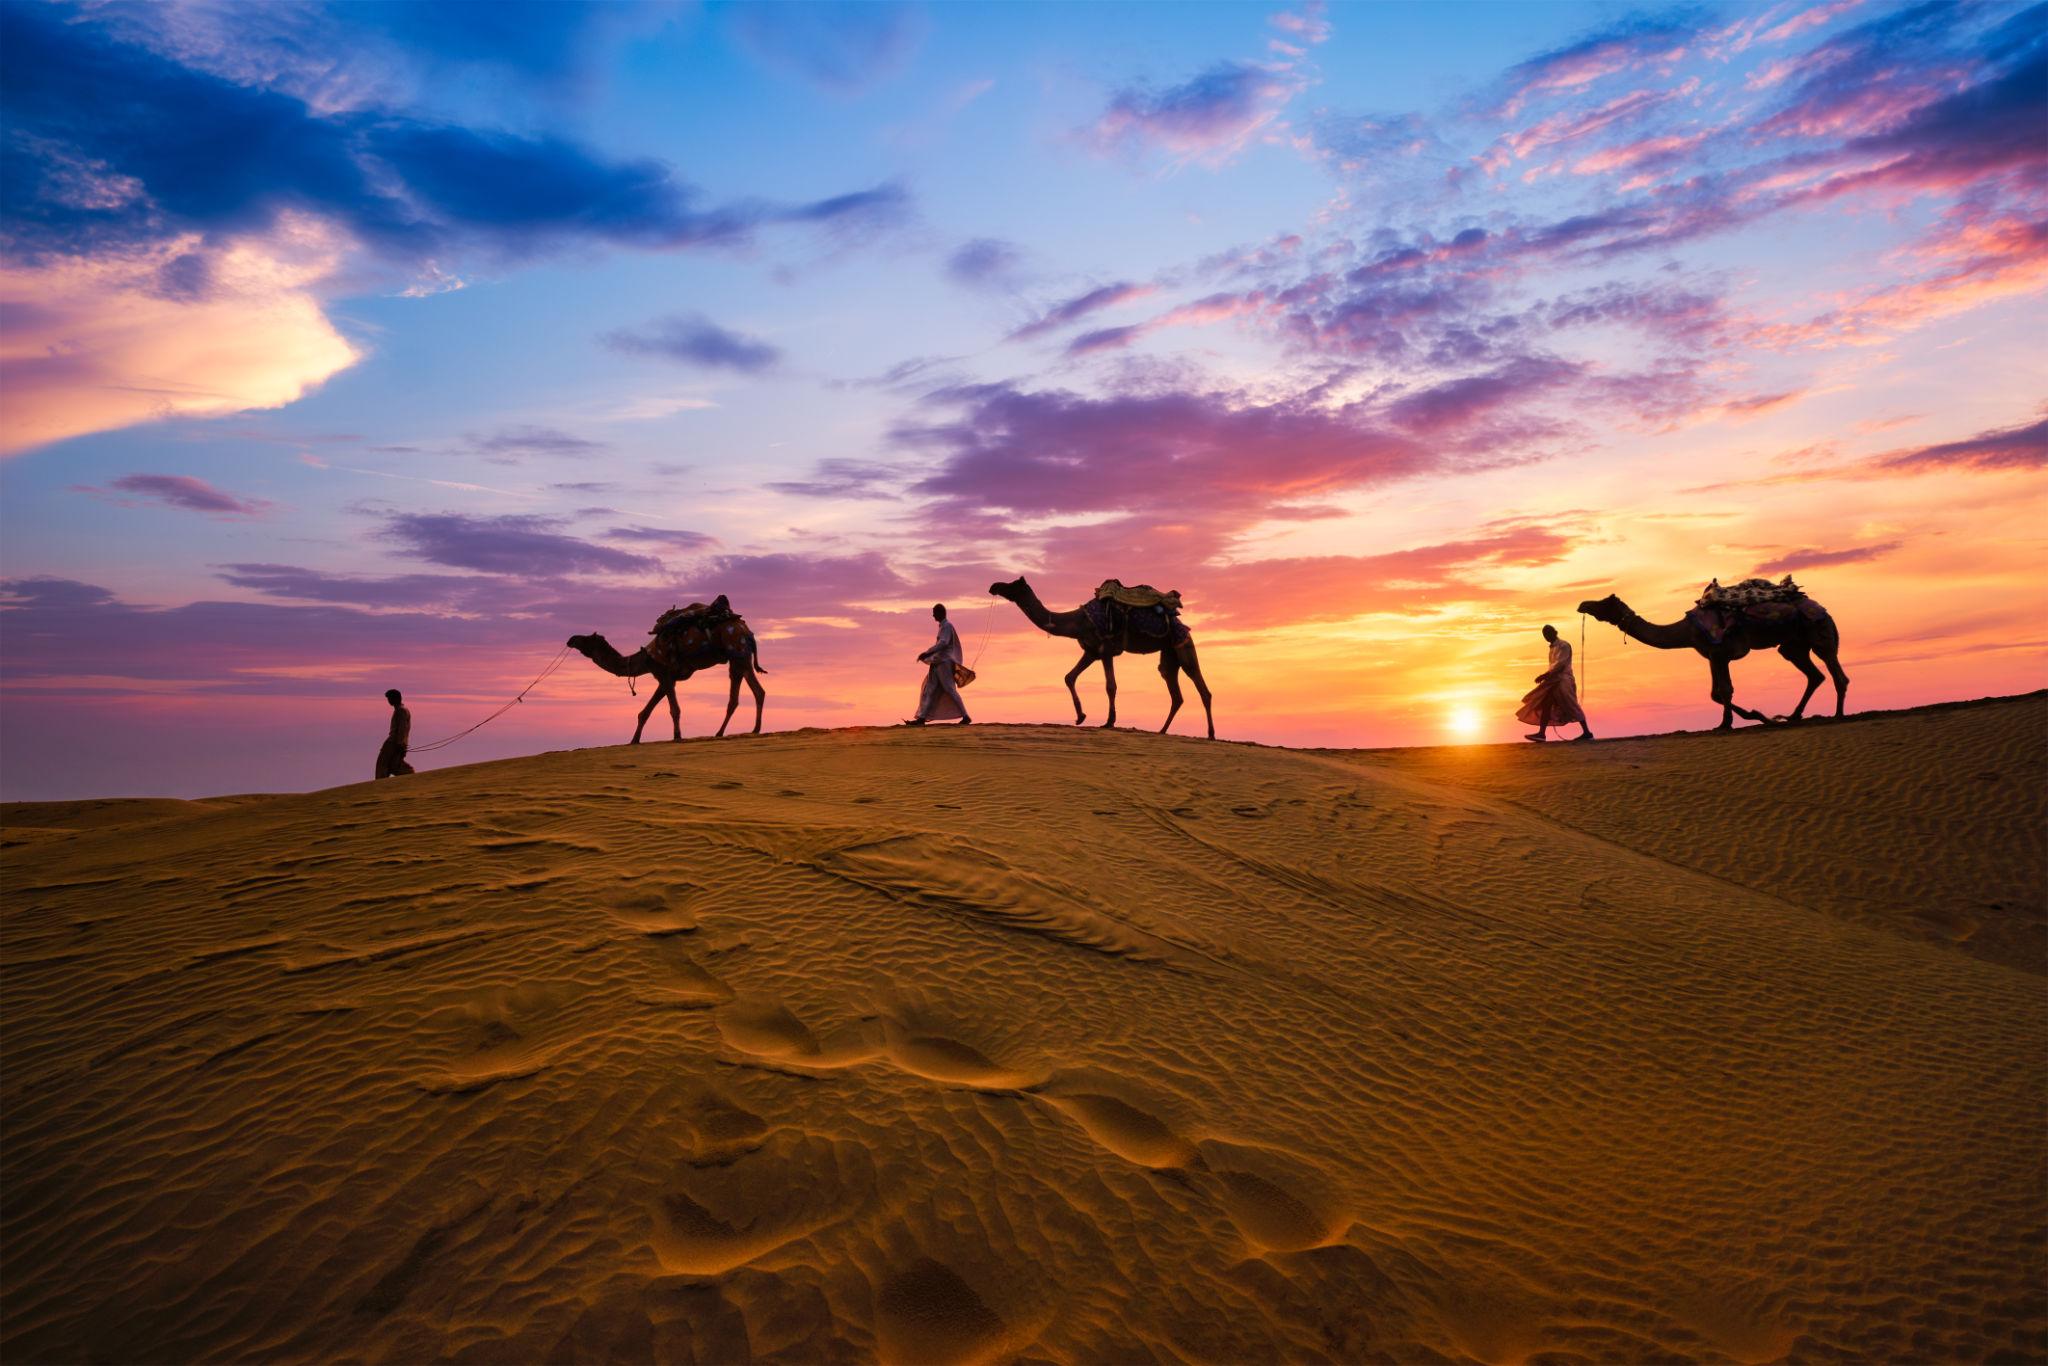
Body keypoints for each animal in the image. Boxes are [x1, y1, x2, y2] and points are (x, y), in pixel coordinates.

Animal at [567, 612, 765, 743]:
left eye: (586, 639)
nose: (571, 639)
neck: (646, 658)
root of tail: (747, 631)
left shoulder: (664, 674)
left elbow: (674, 709)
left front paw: (677, 736)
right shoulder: (666, 678)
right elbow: (644, 712)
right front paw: (634, 740)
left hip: (737, 649)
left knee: (746, 692)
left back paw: (727, 731)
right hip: (740, 655)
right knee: (754, 691)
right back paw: (748, 730)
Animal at [989, 576, 1215, 738]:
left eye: (1012, 584)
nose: (994, 586)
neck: (1079, 621)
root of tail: (1183, 625)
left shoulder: (1106, 650)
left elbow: (1110, 686)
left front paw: (1109, 721)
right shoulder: (1091, 651)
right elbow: (1069, 677)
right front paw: (1080, 717)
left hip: (1184, 644)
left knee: (1202, 688)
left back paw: (1211, 734)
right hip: (1169, 654)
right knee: (1175, 692)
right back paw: (1162, 730)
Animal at [1577, 591, 1849, 730]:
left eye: (1603, 602)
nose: (1582, 604)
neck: (1686, 630)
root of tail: (1822, 608)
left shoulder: (1720, 652)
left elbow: (1725, 690)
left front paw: (1727, 723)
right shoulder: (1711, 655)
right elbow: (1715, 694)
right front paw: (1759, 715)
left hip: (1819, 632)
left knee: (1837, 673)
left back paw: (1838, 714)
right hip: (1794, 645)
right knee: (1815, 675)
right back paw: (1793, 716)